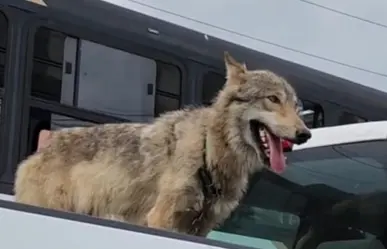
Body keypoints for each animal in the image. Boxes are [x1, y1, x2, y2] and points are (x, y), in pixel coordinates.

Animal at [12, 52, 312, 235]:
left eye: (297, 108)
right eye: (273, 99)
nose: (305, 134)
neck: (208, 152)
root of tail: (39, 151)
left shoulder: (201, 228)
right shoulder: (161, 219)